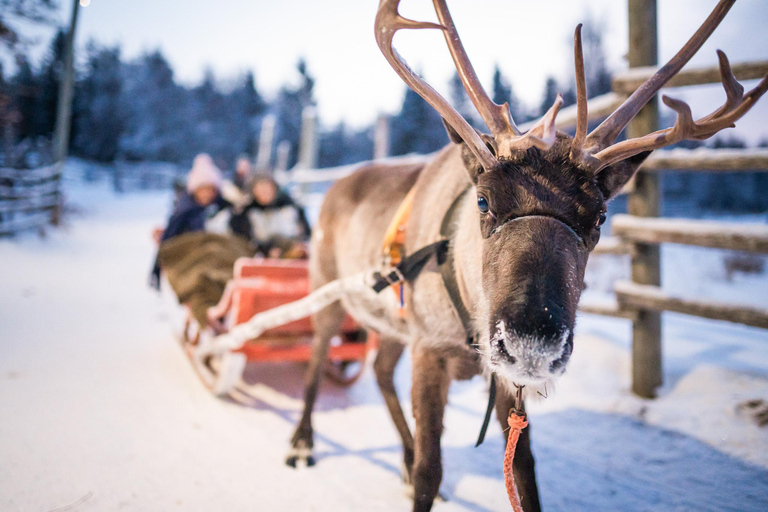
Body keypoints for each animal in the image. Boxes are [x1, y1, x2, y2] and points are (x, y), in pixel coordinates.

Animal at [288, 1, 767, 510]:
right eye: (483, 201)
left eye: (600, 216)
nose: (533, 341)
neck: (472, 325)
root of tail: (337, 185)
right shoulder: (430, 348)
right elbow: (430, 471)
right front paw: (418, 470)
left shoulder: (501, 378)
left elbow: (524, 469)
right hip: (326, 290)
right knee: (317, 359)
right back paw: (302, 442)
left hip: (392, 323)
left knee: (379, 372)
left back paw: (398, 455)